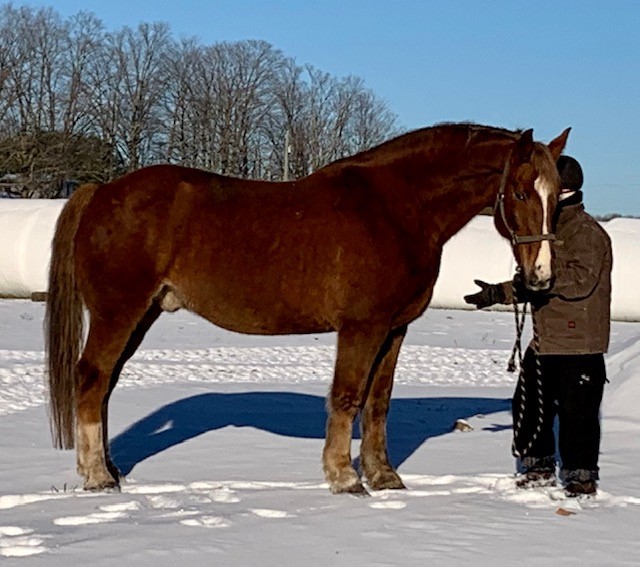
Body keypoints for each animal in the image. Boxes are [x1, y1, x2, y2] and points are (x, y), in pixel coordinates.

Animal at [45, 123, 569, 494]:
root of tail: (101, 192)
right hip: (119, 313)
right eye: (520, 191)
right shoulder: (361, 327)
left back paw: (112, 469)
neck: (396, 211)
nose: (541, 276)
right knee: (91, 379)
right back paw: (97, 477)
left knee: (105, 386)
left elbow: (378, 404)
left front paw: (385, 477)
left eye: (558, 197)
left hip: (142, 315)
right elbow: (348, 397)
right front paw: (344, 478)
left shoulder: (395, 329)